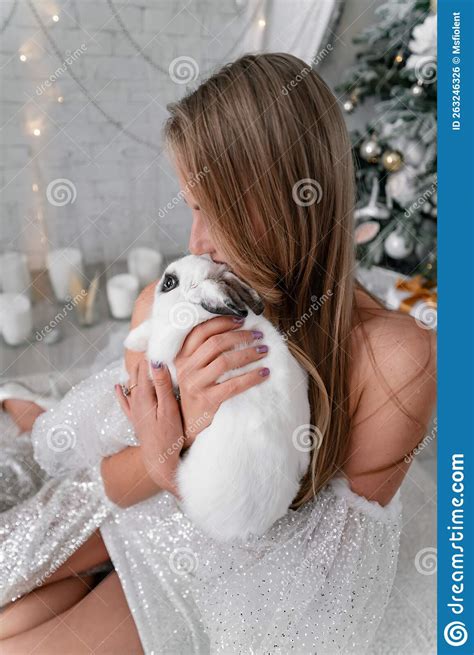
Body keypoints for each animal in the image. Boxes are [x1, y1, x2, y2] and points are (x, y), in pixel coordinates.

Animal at [126, 254, 312, 540]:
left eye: (169, 283)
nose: (156, 284)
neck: (199, 314)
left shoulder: (166, 345)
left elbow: (155, 341)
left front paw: (133, 340)